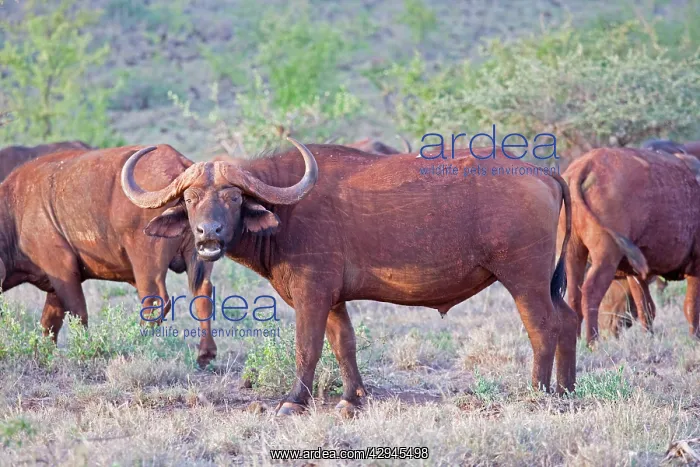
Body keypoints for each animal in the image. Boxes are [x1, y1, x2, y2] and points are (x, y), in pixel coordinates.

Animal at [0, 145, 217, 366]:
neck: (14, 213)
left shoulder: (63, 272)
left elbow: (78, 315)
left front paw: (85, 350)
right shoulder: (55, 285)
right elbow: (49, 324)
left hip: (147, 266)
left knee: (155, 303)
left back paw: (136, 344)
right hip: (201, 256)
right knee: (203, 294)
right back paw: (205, 354)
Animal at [122, 138, 577, 416]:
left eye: (233, 197)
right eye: (191, 198)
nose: (208, 234)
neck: (286, 210)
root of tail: (542, 173)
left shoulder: (311, 295)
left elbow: (307, 348)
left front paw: (293, 402)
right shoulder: (334, 300)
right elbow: (345, 345)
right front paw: (352, 398)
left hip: (524, 281)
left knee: (543, 328)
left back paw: (537, 392)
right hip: (545, 284)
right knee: (568, 320)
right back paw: (567, 389)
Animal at [561, 147, 700, 344]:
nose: (608, 326)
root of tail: (583, 166)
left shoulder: (635, 274)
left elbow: (646, 308)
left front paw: (649, 338)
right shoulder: (696, 266)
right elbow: (691, 306)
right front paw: (694, 339)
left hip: (573, 253)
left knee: (574, 294)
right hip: (606, 256)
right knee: (590, 291)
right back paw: (592, 342)